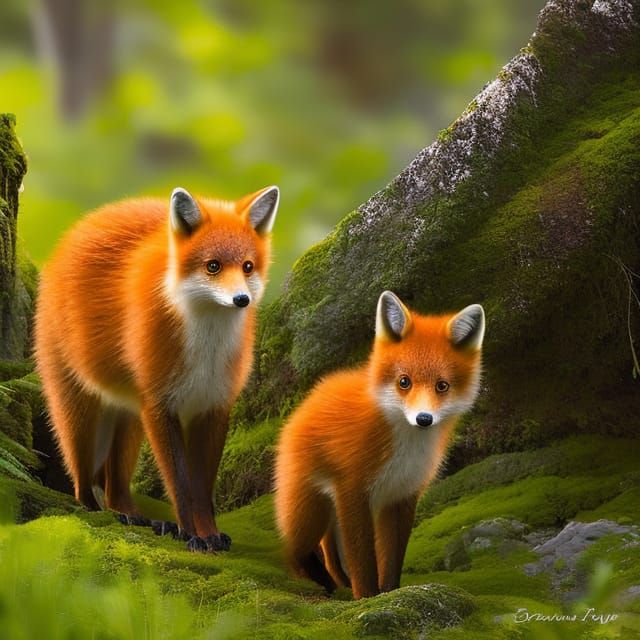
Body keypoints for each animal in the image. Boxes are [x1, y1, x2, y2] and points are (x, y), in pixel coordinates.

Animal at [34, 185, 279, 552]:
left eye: (248, 266)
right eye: (213, 266)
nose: (241, 300)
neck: (205, 352)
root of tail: (81, 226)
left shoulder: (213, 406)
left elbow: (201, 488)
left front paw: (208, 534)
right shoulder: (160, 405)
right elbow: (179, 484)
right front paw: (191, 534)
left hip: (131, 419)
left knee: (115, 485)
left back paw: (131, 515)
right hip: (81, 415)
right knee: (82, 477)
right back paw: (94, 510)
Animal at [274, 291, 485, 598]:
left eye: (442, 386)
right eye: (404, 382)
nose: (424, 419)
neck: (406, 449)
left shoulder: (402, 495)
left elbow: (393, 557)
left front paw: (389, 591)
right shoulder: (352, 491)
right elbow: (362, 559)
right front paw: (366, 598)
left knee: (327, 552)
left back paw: (336, 583)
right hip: (309, 511)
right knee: (295, 550)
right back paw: (317, 586)